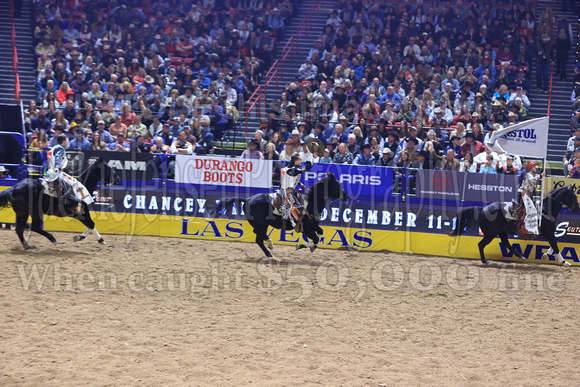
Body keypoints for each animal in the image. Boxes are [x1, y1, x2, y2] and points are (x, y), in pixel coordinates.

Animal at [213, 172, 348, 258]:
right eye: (337, 185)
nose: (346, 195)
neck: (309, 202)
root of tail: (248, 199)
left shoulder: (313, 225)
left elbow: (320, 233)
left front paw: (311, 247)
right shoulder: (306, 228)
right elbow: (315, 239)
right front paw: (300, 246)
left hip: (262, 224)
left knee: (258, 239)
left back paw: (269, 254)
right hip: (261, 224)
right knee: (261, 236)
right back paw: (270, 244)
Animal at [448, 186, 580, 266]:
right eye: (573, 196)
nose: (577, 209)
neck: (545, 210)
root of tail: (483, 208)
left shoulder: (549, 233)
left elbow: (553, 245)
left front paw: (545, 255)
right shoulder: (548, 233)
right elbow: (555, 245)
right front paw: (564, 261)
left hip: (501, 232)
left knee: (505, 243)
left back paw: (520, 256)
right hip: (490, 234)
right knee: (481, 244)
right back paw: (485, 261)